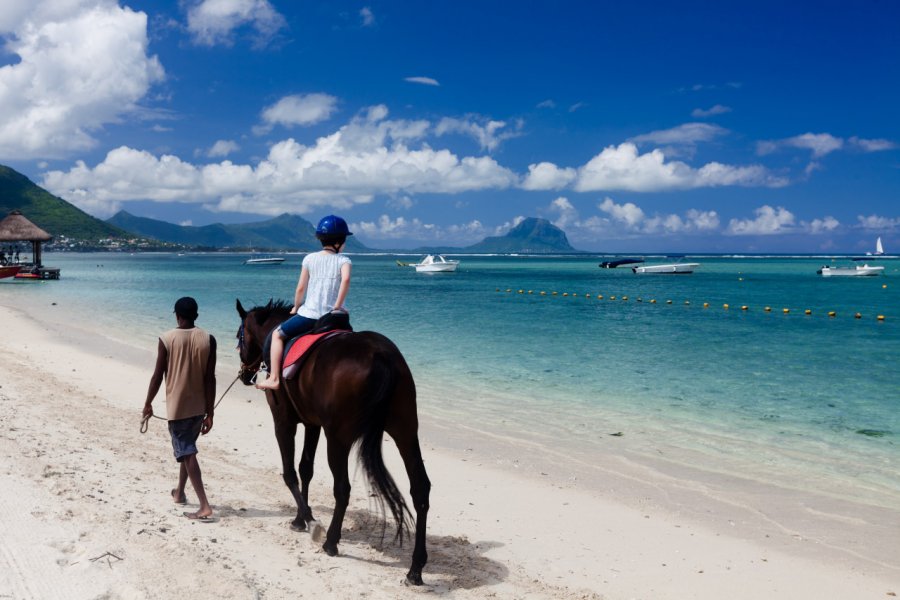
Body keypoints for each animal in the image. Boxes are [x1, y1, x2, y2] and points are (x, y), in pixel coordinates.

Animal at [236, 300, 432, 584]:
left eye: (239, 336)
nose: (243, 374)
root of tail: (381, 356)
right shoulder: (312, 424)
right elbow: (306, 469)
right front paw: (300, 519)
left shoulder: (283, 422)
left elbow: (290, 473)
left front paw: (309, 522)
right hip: (405, 432)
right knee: (420, 489)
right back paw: (416, 567)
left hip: (338, 439)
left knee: (342, 488)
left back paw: (330, 541)